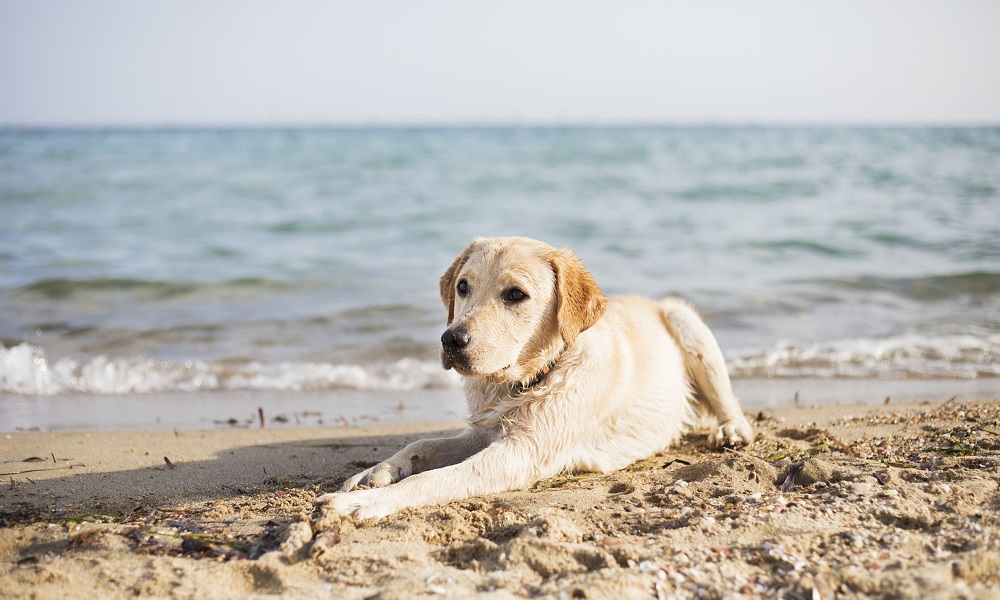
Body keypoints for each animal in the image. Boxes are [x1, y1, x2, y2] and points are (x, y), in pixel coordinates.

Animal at [318, 237, 752, 516]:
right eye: (462, 286)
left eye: (515, 294)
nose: (451, 339)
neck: (527, 380)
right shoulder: (486, 431)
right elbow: (421, 444)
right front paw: (374, 473)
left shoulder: (523, 452)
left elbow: (430, 481)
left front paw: (362, 504)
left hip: (687, 323)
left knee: (730, 403)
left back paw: (731, 430)